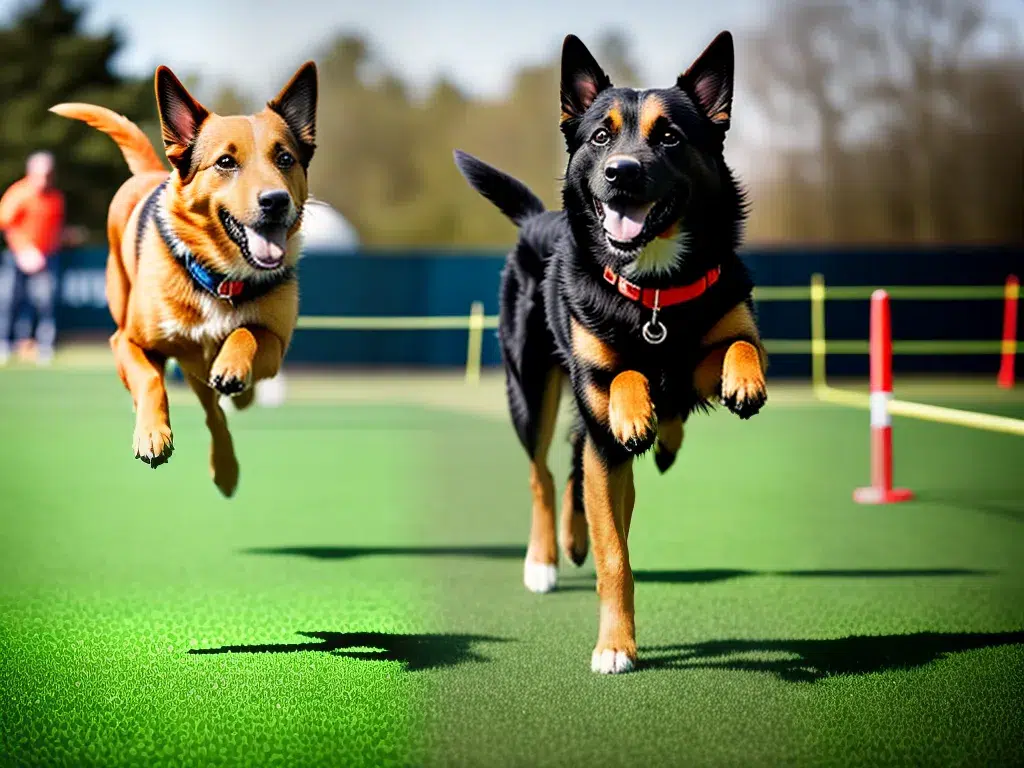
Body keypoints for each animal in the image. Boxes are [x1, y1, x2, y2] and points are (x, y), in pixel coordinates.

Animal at [48, 63, 317, 495]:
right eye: (225, 162)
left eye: (285, 158)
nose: (276, 201)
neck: (220, 279)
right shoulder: (126, 341)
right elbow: (149, 379)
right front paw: (151, 434)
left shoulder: (276, 343)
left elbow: (249, 331)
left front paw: (234, 367)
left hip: (200, 371)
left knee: (216, 411)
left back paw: (226, 463)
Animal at [452, 33, 765, 675]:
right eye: (601, 136)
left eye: (669, 136)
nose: (622, 171)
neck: (653, 288)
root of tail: (536, 218)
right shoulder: (598, 388)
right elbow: (614, 555)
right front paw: (615, 647)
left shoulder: (705, 343)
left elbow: (739, 341)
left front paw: (743, 381)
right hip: (530, 391)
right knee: (546, 471)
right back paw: (546, 558)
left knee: (585, 454)